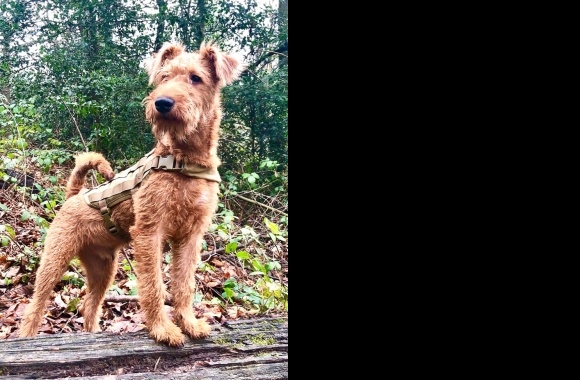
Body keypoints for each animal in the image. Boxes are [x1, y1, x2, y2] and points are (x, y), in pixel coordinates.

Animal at [17, 42, 241, 348]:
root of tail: (74, 195)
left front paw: (190, 323)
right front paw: (162, 328)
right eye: (164, 77)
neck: (184, 161)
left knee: (89, 305)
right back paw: (26, 339)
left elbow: (184, 284)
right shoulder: (149, 231)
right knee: (35, 305)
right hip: (55, 258)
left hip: (103, 268)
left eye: (196, 78)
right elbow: (153, 285)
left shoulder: (191, 236)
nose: (162, 103)